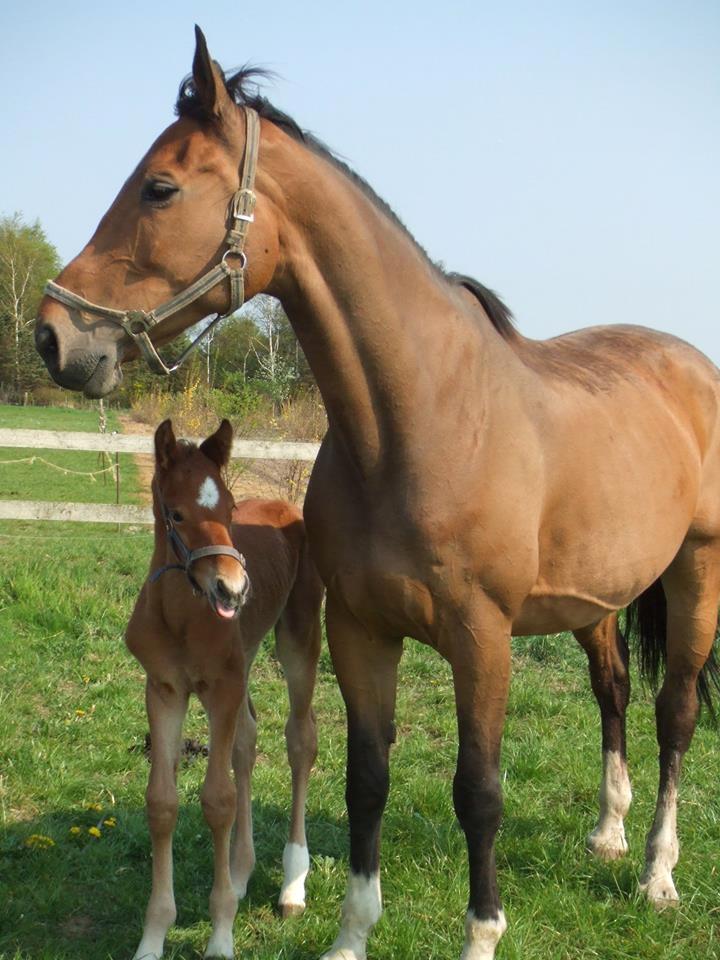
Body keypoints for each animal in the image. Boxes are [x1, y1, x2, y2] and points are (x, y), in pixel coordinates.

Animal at [126, 420, 324, 960]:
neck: (182, 616)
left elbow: (217, 801)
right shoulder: (165, 690)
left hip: (298, 638)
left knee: (300, 739)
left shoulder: (222, 688)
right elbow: (162, 802)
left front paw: (219, 937)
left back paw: (291, 885)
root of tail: (286, 506)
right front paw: (153, 937)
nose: (233, 589)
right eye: (176, 512)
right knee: (247, 741)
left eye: (230, 509)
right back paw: (239, 874)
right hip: (247, 659)